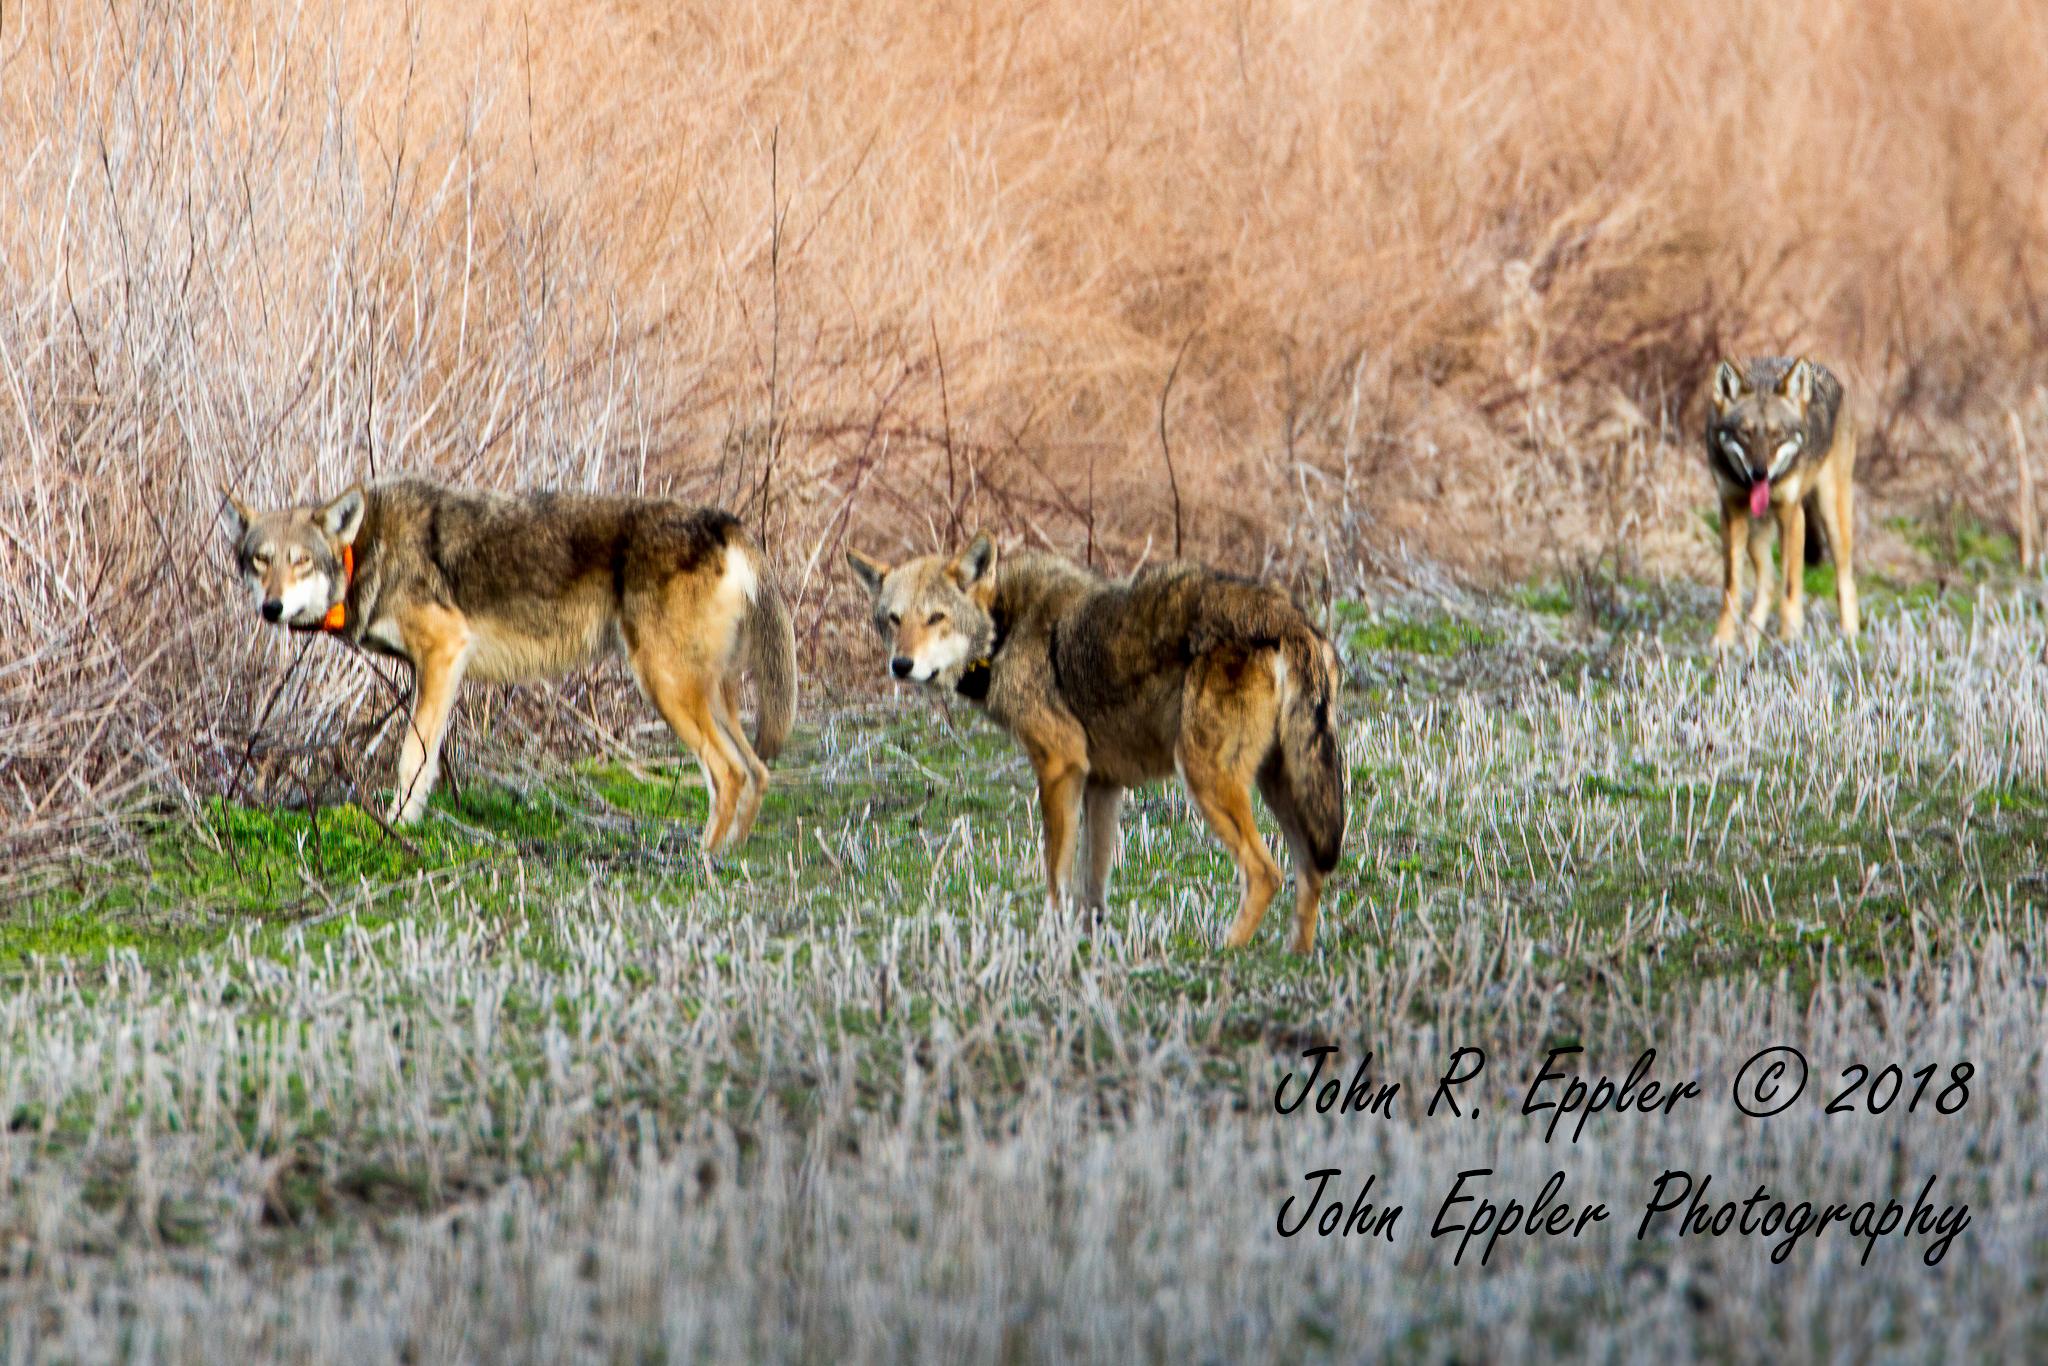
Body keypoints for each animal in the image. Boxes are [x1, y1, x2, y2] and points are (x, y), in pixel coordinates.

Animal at [224, 478, 796, 849]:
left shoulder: (444, 651)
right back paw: (730, 857)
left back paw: (702, 862)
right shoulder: (434, 672)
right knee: (758, 770)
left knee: (730, 773)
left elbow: (411, 758)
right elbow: (428, 759)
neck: (368, 552)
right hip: (706, 694)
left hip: (666, 687)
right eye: (260, 561)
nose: (271, 607)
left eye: (301, 561)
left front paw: (398, 829)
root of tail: (723, 522)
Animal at [846, 536, 1347, 952]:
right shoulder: (1103, 784)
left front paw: (1050, 943)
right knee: (1310, 869)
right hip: (1278, 785)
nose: (901, 664)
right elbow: (1093, 886)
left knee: (1266, 873)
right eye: (893, 620)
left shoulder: (1059, 766)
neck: (1003, 629)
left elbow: (1056, 876)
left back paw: (1222, 954)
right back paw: (1294, 957)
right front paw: (1088, 948)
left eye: (936, 618)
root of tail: (1290, 620)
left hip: (1206, 779)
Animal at [1704, 356, 1859, 650]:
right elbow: (1731, 588)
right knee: (1767, 582)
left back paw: (1850, 635)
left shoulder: (1792, 515)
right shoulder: (1731, 512)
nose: (1760, 474)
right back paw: (1750, 641)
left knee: (1844, 577)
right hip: (1755, 531)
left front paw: (1790, 639)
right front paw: (1723, 641)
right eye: (1745, 433)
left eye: (1778, 435)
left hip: (1832, 516)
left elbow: (1791, 585)